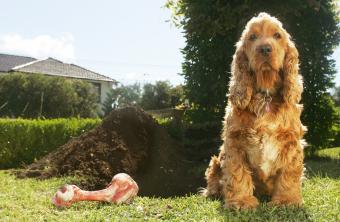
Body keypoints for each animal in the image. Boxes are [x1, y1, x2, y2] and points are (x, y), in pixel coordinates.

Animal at [202, 12, 306, 210]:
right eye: (252, 37)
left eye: (277, 35)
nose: (264, 49)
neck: (265, 95)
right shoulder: (234, 142)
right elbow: (237, 174)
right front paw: (242, 202)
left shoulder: (292, 142)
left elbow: (289, 174)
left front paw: (286, 201)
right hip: (216, 160)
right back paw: (213, 192)